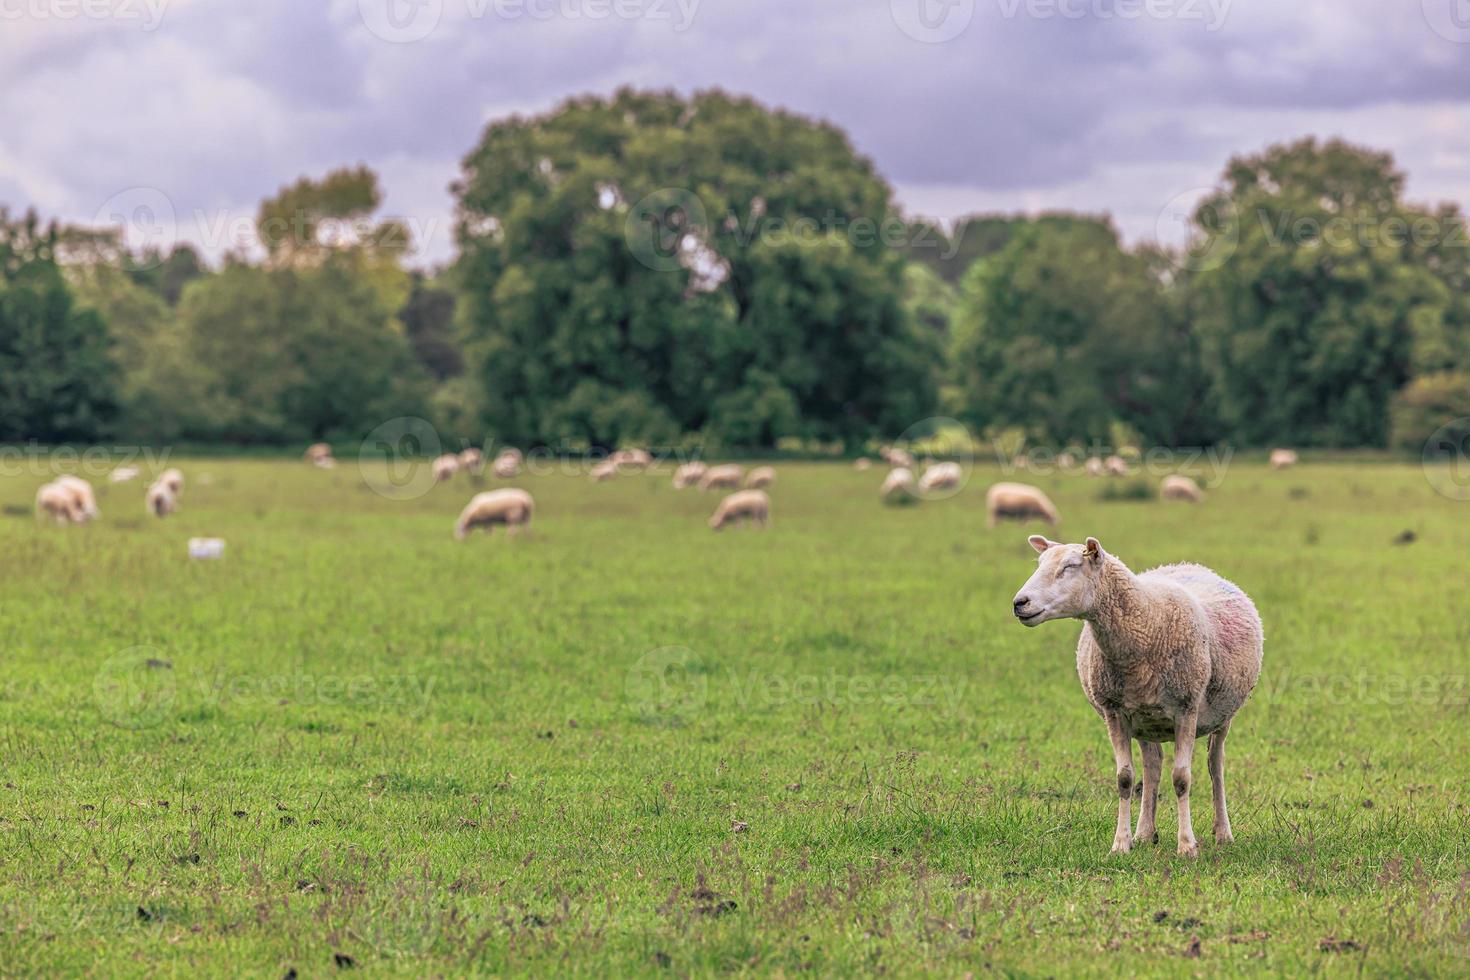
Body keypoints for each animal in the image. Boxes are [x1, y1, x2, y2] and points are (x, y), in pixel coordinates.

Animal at [1011, 537, 1264, 858]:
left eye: (1070, 566)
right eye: (1040, 564)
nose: (1019, 603)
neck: (1146, 624)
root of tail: (1189, 565)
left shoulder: (1187, 708)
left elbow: (1182, 779)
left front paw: (1187, 846)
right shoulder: (1114, 712)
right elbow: (1125, 779)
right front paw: (1121, 843)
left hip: (1223, 714)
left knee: (1214, 765)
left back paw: (1223, 832)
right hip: (1145, 720)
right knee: (1153, 765)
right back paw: (1145, 833)